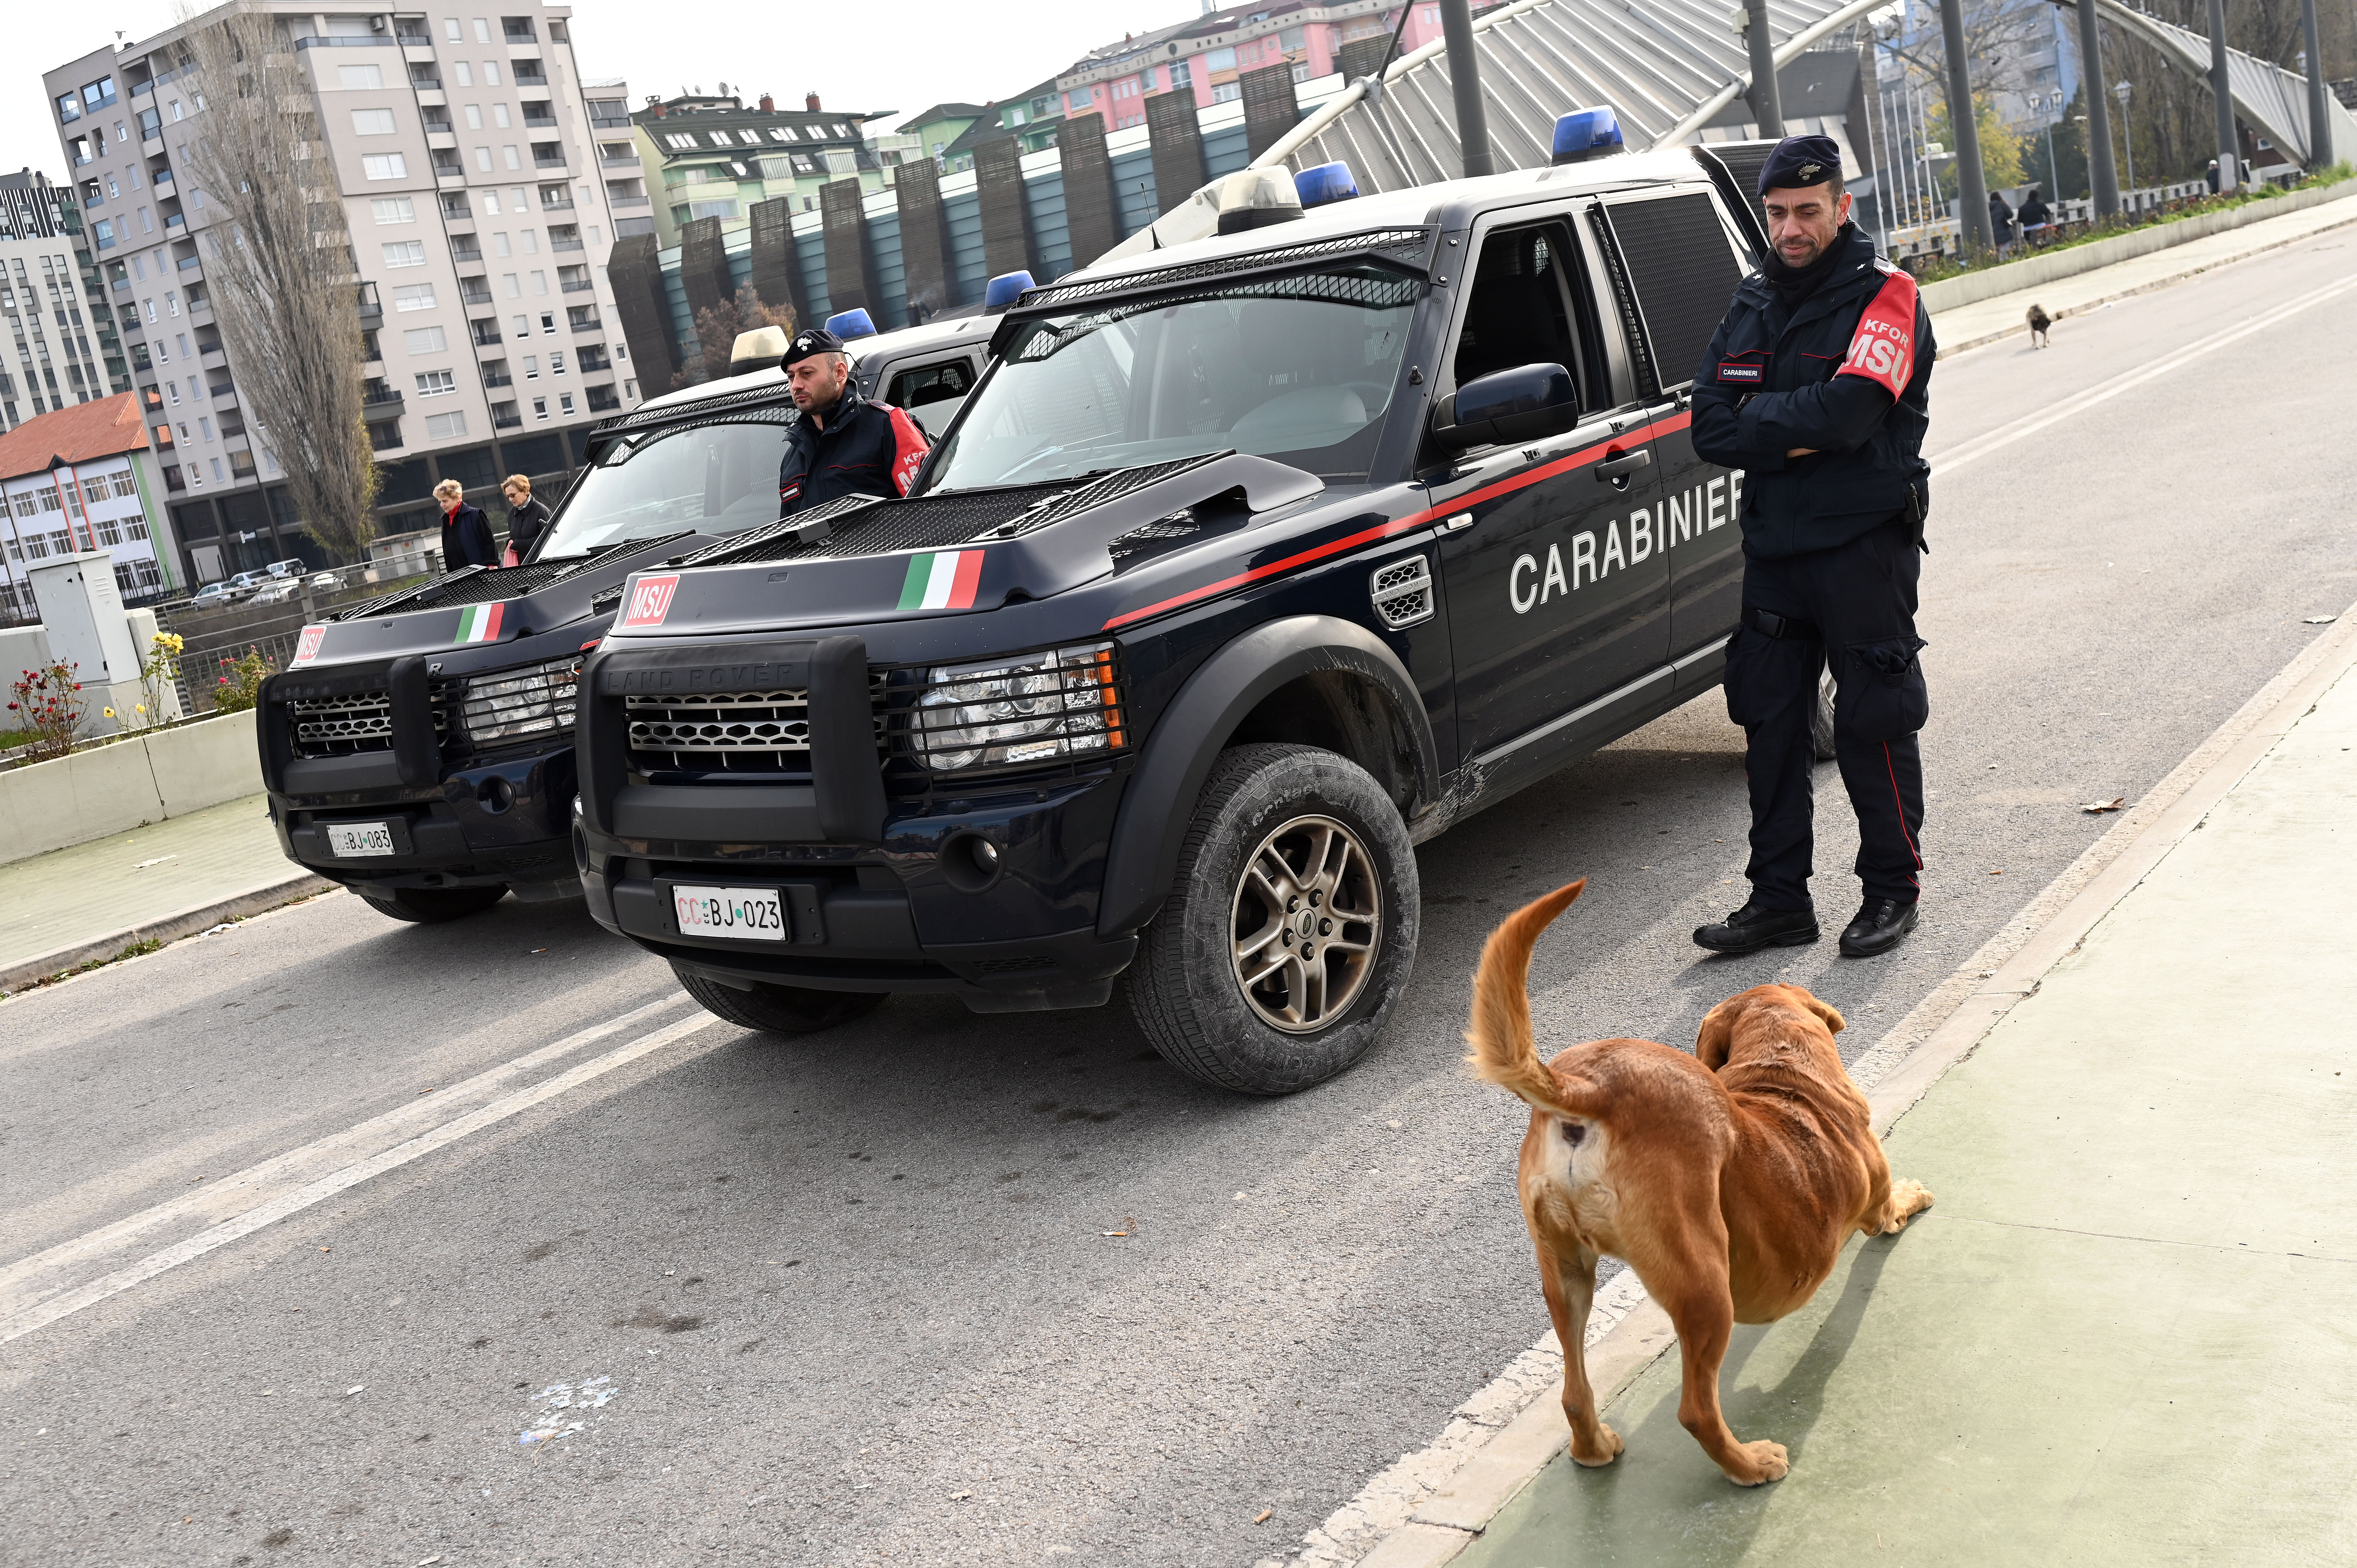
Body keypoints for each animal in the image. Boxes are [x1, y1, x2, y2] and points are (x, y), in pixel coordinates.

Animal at [1470, 882, 1933, 1481]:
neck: (1780, 1071)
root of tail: (1590, 1088)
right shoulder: (1876, 1205)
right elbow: (1893, 1207)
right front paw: (1916, 1194)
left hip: (1565, 1273)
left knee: (1573, 1392)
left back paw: (1593, 1448)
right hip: (1705, 1287)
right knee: (1696, 1410)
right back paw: (1751, 1464)